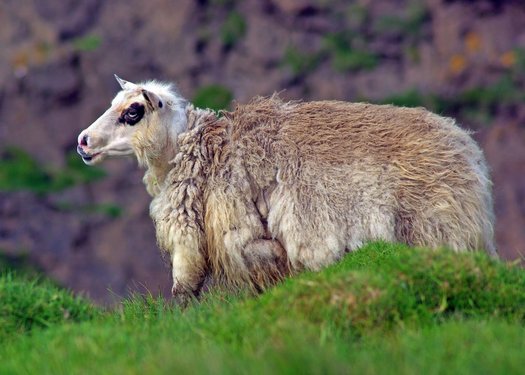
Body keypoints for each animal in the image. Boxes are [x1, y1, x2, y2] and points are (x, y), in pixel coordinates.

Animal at [77, 76, 496, 306]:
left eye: (133, 112)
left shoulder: (244, 235)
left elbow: (186, 292)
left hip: (436, 230)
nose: (82, 141)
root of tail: (467, 150)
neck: (203, 150)